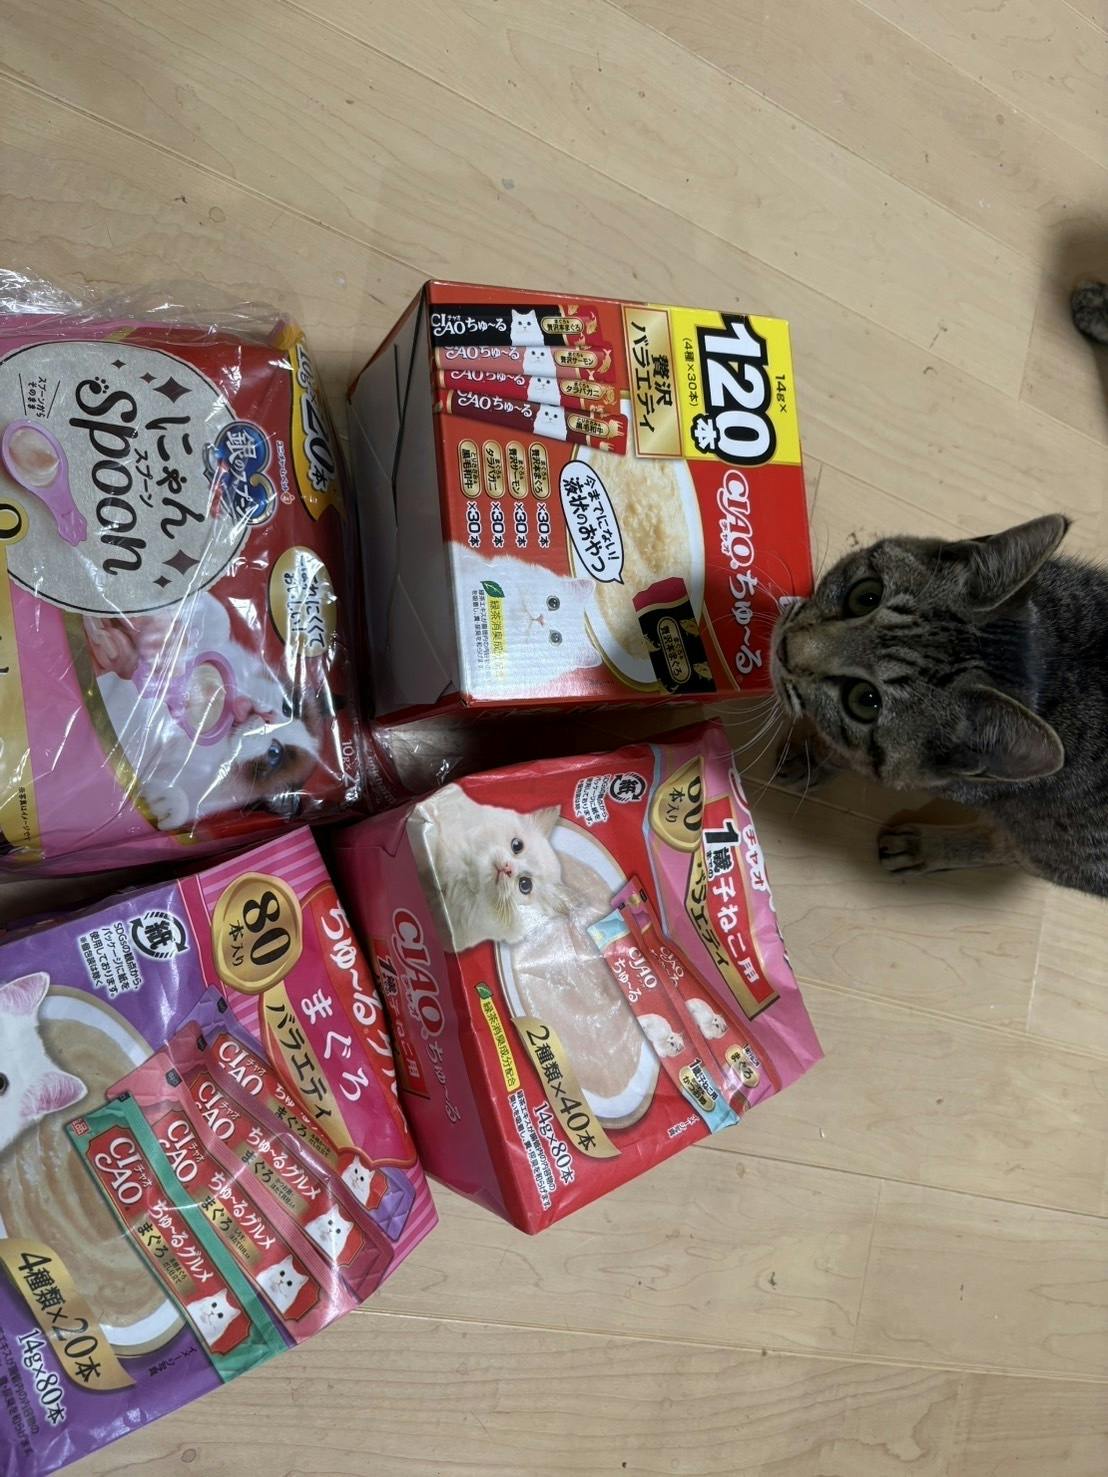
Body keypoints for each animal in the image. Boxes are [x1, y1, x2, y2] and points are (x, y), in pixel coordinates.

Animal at [84, 590, 324, 832]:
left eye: (275, 753)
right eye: (288, 708)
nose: (268, 717)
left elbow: (177, 802)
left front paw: (165, 804)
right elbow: (219, 616)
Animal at [772, 511, 1108, 896]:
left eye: (865, 700)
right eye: (865, 596)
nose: (784, 647)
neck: (1053, 657)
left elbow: (849, 756)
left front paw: (814, 758)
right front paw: (807, 755)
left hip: (1060, 846)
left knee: (1010, 849)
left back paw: (926, 848)